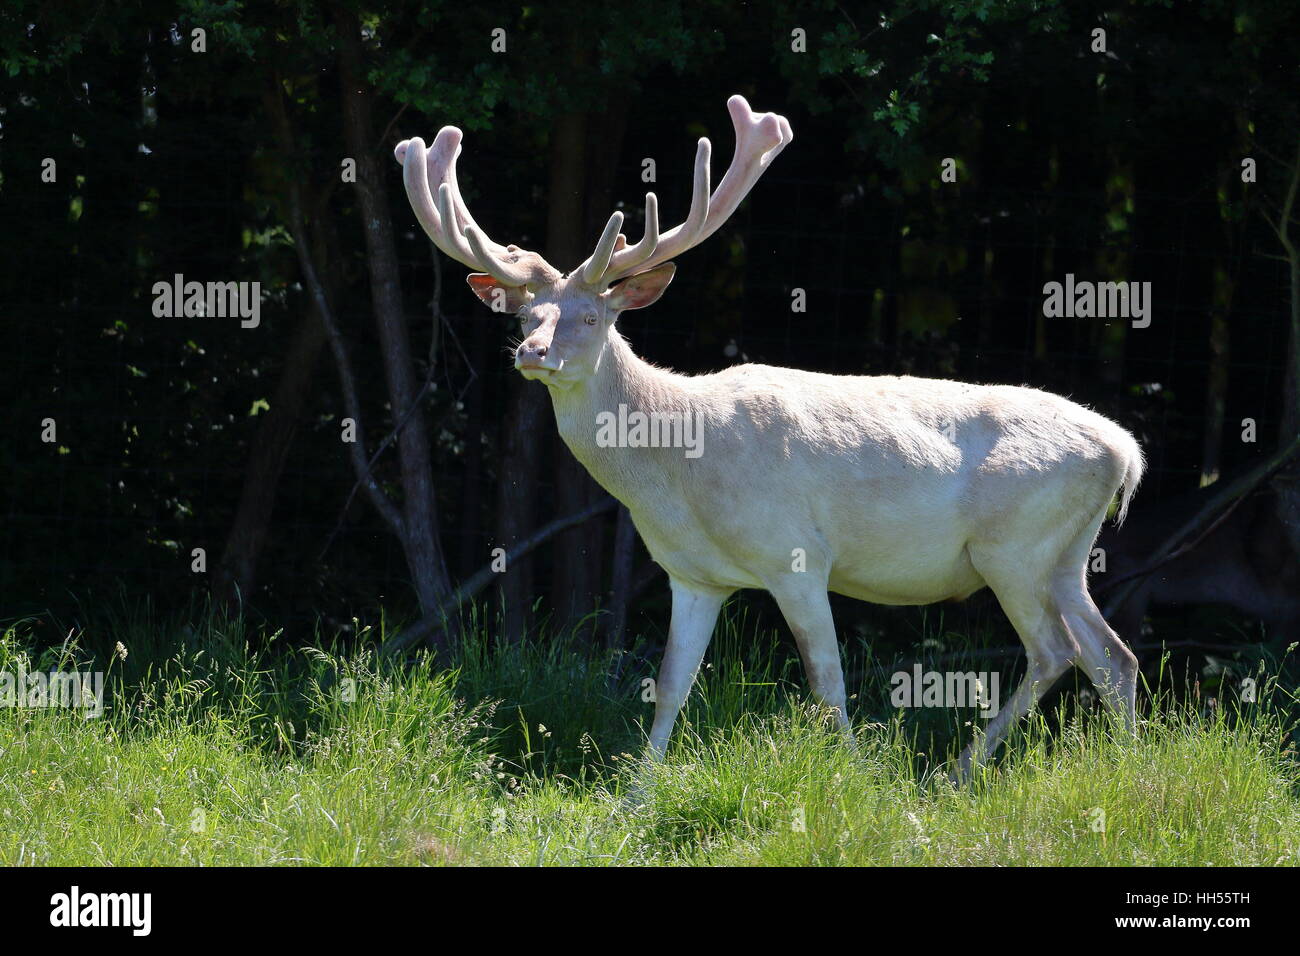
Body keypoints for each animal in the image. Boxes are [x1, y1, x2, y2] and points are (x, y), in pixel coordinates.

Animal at [393, 95, 1146, 776]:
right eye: (526, 317)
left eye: (590, 317)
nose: (532, 353)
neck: (677, 471)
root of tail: (1126, 452)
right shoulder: (691, 573)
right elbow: (671, 686)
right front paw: (633, 797)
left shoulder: (797, 554)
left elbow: (827, 683)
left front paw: (855, 780)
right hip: (1064, 554)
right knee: (1113, 654)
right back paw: (1129, 766)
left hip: (1013, 546)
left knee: (1055, 649)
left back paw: (958, 771)